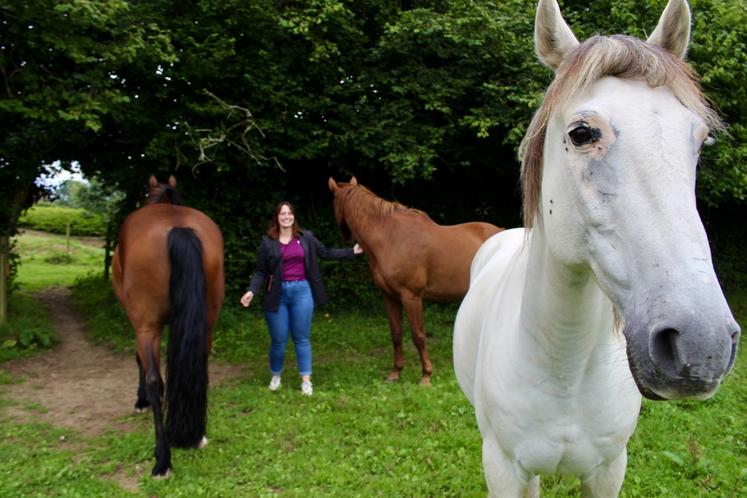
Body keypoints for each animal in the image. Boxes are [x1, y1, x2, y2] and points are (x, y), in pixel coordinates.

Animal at [109, 176, 224, 478]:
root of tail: (177, 225)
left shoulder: (139, 323)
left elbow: (141, 362)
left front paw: (140, 401)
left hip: (147, 326)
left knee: (154, 380)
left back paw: (162, 458)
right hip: (208, 318)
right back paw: (197, 435)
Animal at [328, 176, 502, 386]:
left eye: (334, 203)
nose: (345, 237)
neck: (390, 238)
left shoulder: (411, 296)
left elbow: (418, 335)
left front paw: (426, 376)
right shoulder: (389, 297)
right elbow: (396, 334)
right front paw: (395, 373)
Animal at [452, 1, 740, 496]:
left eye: (701, 140)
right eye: (582, 133)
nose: (703, 345)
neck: (564, 367)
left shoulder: (608, 469)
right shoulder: (503, 467)